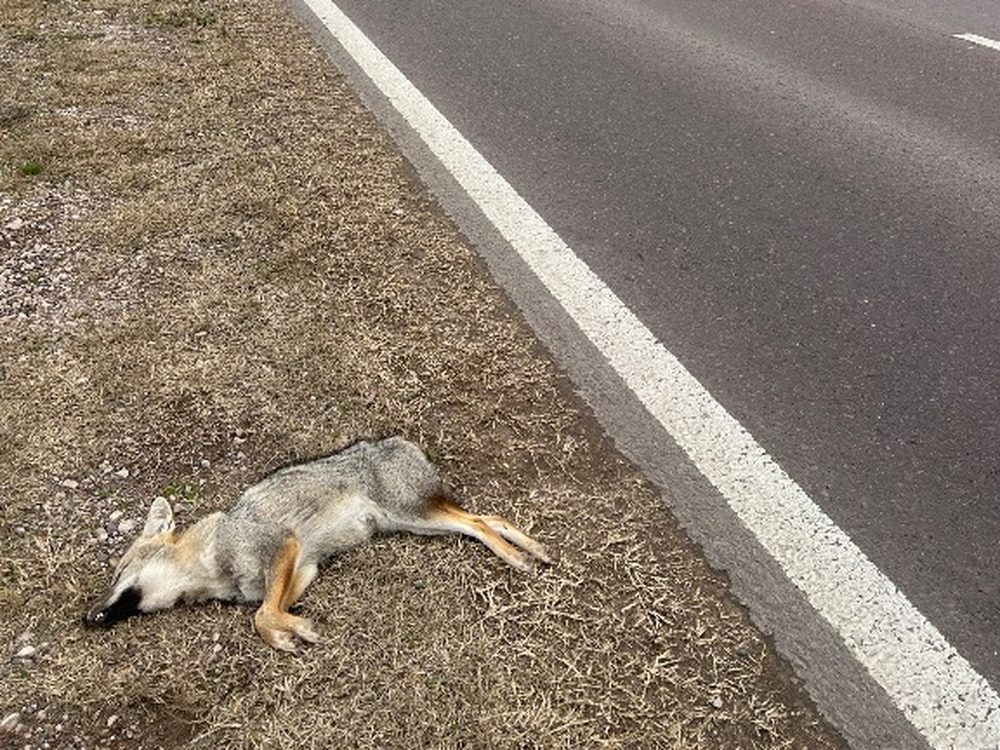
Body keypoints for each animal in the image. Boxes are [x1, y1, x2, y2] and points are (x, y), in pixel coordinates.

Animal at [83, 436, 554, 651]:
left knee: (478, 523)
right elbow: (266, 611)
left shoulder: (283, 546)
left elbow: (259, 614)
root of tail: (397, 440)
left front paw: (294, 631)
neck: (211, 562)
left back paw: (516, 557)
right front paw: (287, 632)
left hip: (415, 516)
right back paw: (533, 548)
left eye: (118, 572)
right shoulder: (302, 568)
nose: (86, 617)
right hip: (419, 523)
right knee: (488, 517)